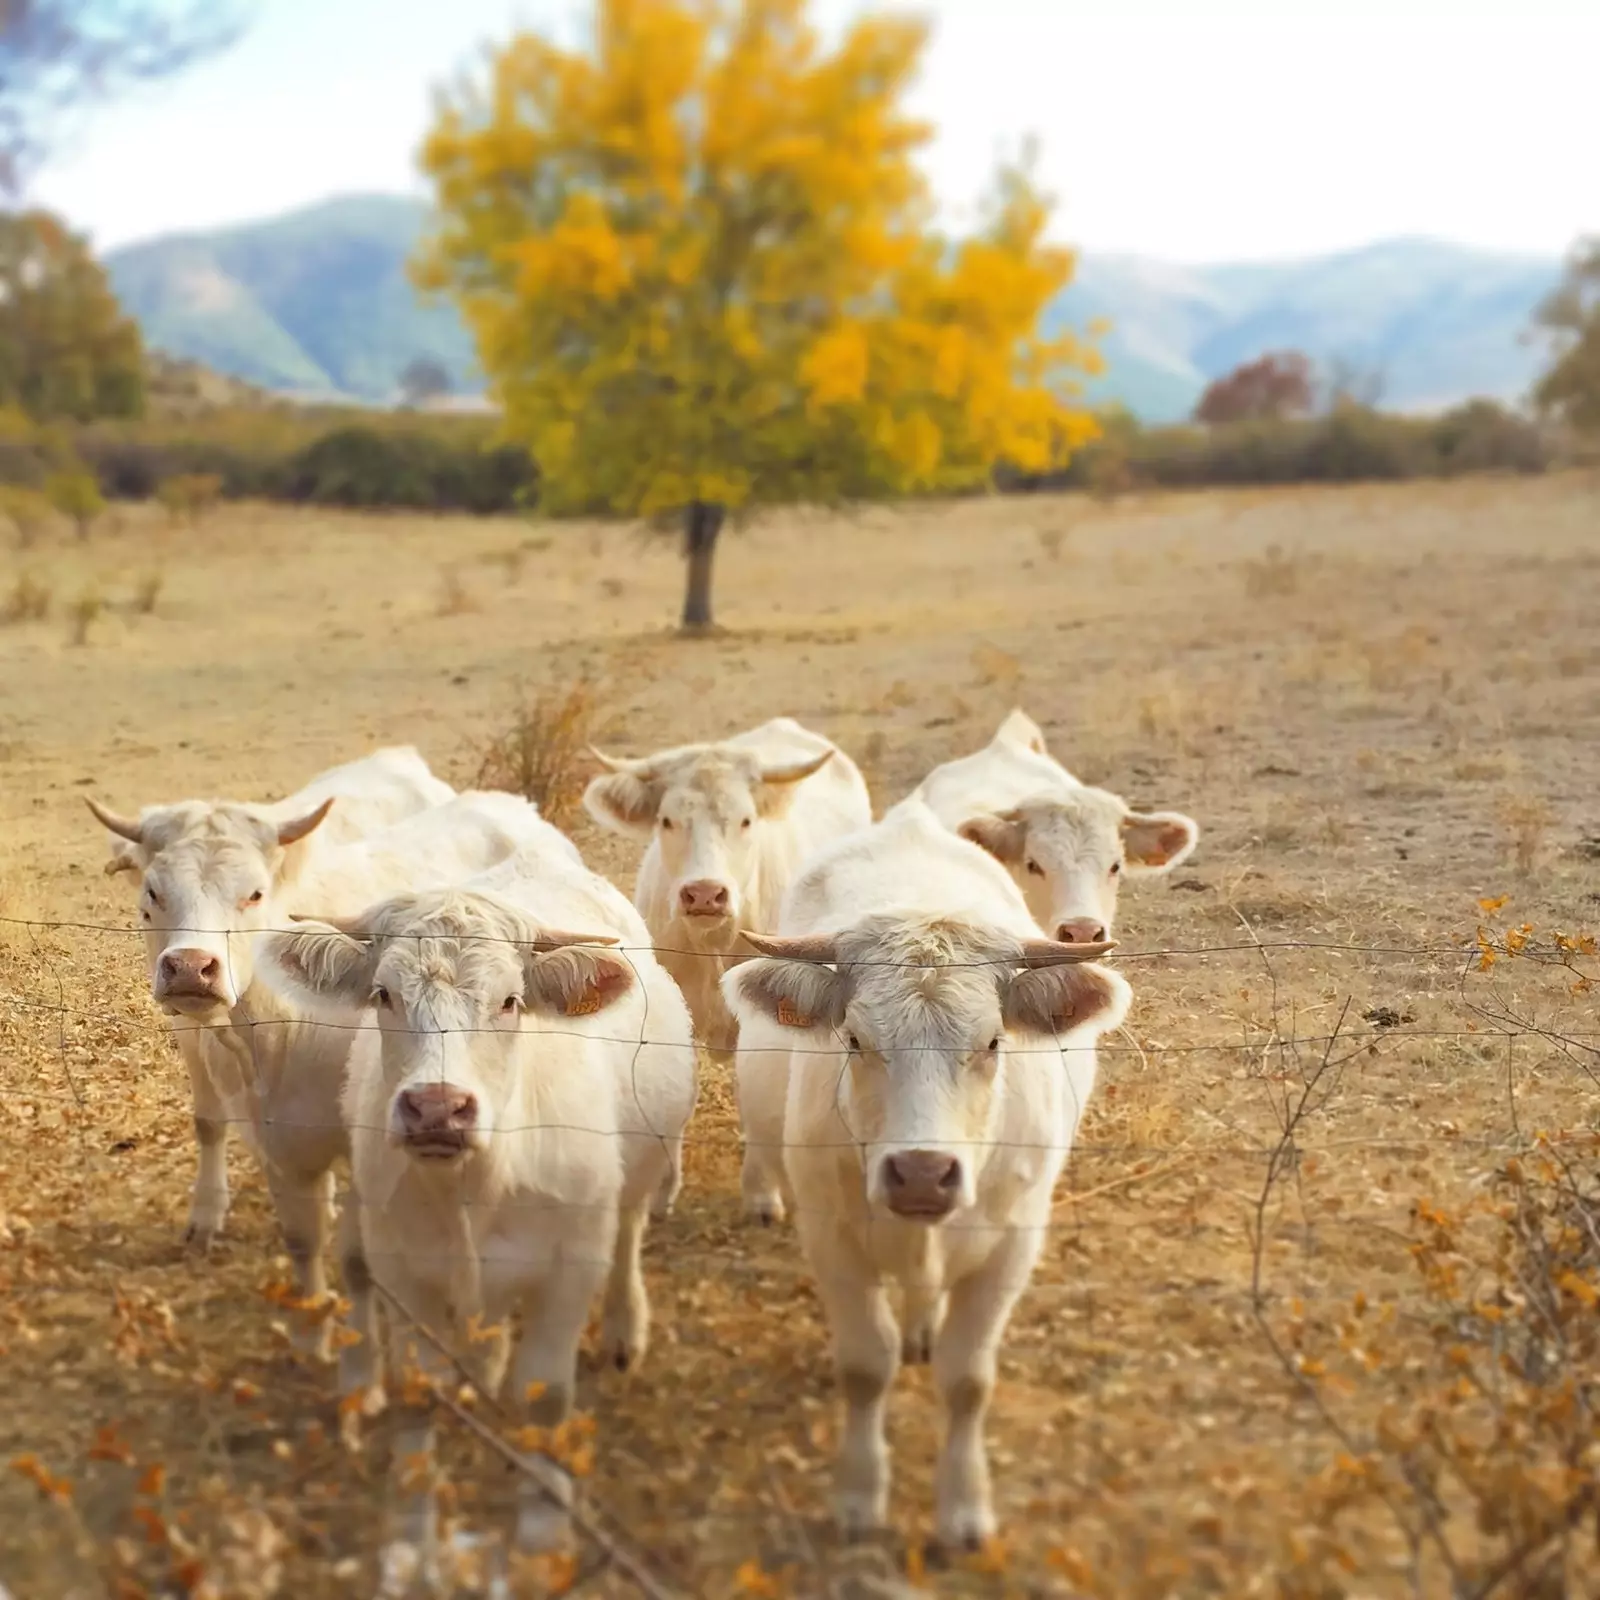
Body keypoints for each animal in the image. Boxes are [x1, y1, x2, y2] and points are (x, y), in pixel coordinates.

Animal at [89, 768, 569, 1369]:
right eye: (152, 893)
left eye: (254, 893)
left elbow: (362, 1261)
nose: (191, 969)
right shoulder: (267, 1128)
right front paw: (308, 1332)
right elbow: (291, 1225)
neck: (277, 1025)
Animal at [259, 857, 697, 1555]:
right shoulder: (404, 1271)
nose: (437, 1107)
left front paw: (543, 1536)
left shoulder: (570, 1268)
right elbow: (419, 1395)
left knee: (630, 1231)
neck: (476, 1186)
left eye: (510, 1000)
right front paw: (412, 1530)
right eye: (383, 994)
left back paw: (625, 1329)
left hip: (641, 1170)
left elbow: (544, 1398)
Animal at [720, 800, 1132, 1548]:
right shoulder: (831, 1239)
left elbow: (967, 1380)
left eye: (993, 1041)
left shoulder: (1010, 1247)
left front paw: (964, 1509)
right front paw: (859, 1496)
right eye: (855, 1039)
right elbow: (864, 1367)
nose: (920, 1174)